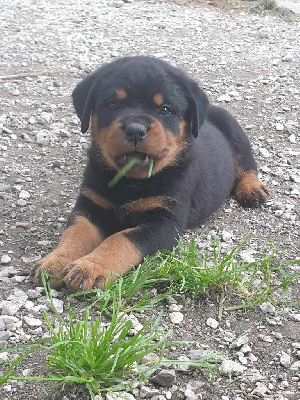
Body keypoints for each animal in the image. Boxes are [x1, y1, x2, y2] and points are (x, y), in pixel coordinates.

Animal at [31, 55, 270, 290]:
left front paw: (91, 267)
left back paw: (252, 190)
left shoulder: (164, 221)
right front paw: (54, 262)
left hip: (235, 133)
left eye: (164, 109)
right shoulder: (90, 204)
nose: (135, 130)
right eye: (113, 104)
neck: (130, 180)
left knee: (247, 165)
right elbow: (75, 233)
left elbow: (121, 239)